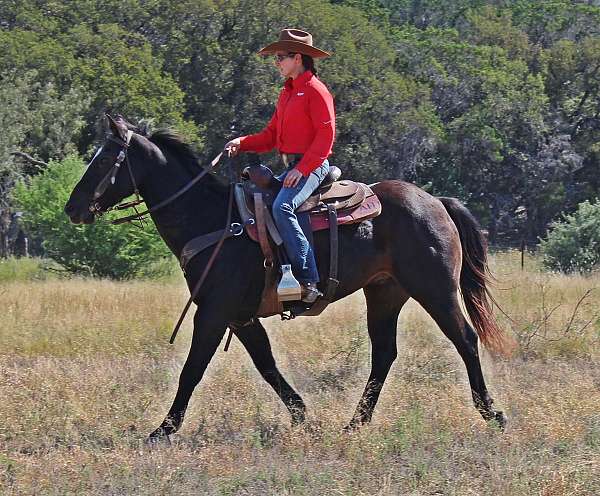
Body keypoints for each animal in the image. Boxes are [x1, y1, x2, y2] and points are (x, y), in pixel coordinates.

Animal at [64, 115, 506, 442]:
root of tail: (436, 202)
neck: (213, 220)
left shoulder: (213, 312)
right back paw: (354, 424)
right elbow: (266, 363)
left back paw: (492, 414)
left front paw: (162, 431)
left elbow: (193, 369)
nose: (72, 208)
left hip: (435, 289)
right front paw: (302, 415)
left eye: (103, 160)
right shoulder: (239, 317)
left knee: (465, 339)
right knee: (384, 354)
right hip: (384, 293)